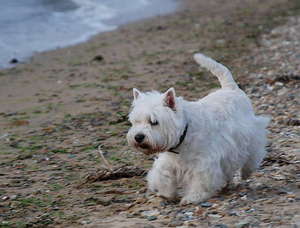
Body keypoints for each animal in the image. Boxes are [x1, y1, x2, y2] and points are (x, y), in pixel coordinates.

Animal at [126, 54, 270, 205]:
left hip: (251, 135)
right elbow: (163, 174)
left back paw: (246, 172)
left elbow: (201, 180)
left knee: (254, 153)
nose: (138, 137)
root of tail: (231, 88)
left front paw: (193, 197)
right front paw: (166, 193)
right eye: (135, 121)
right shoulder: (169, 161)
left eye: (154, 122)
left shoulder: (204, 162)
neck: (184, 133)